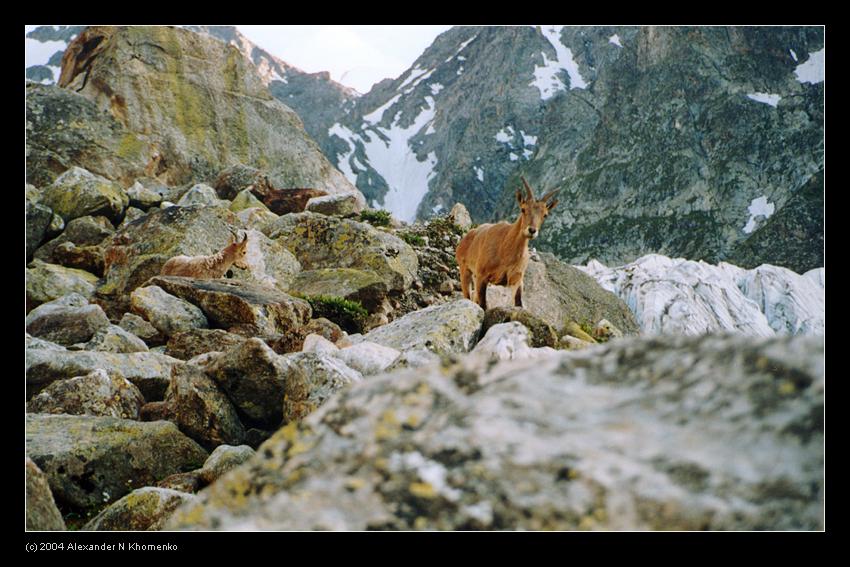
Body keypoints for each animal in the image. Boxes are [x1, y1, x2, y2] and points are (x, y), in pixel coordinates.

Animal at [454, 178, 560, 310]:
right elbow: (483, 305)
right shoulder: (482, 276)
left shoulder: (517, 279)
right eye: (523, 209)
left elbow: (518, 303)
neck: (505, 251)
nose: (532, 230)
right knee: (468, 296)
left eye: (545, 214)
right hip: (465, 270)